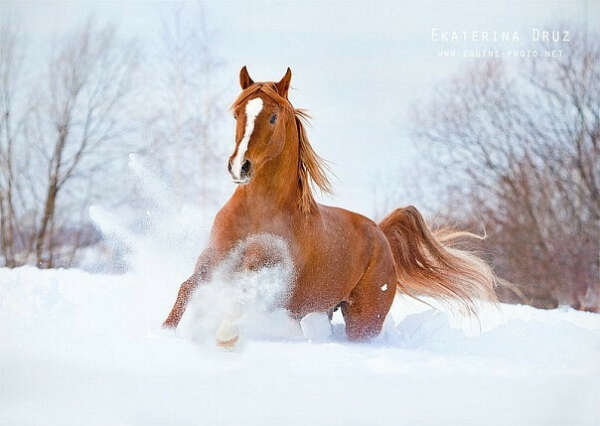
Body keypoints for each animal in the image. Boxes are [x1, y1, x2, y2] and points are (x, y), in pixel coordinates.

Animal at [164, 66, 496, 340]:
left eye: (272, 117)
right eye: (237, 114)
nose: (239, 167)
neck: (259, 213)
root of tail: (380, 232)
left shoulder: (265, 272)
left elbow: (238, 297)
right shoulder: (214, 259)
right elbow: (187, 288)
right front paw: (165, 332)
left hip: (364, 319)